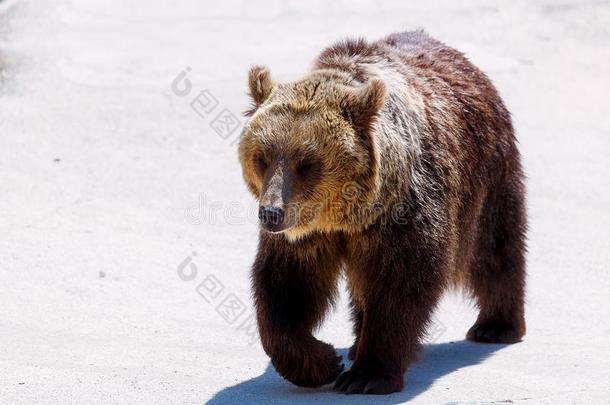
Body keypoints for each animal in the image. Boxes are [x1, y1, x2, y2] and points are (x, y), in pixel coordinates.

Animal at [236, 30, 524, 394]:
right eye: (262, 157)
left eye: (307, 163)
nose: (271, 213)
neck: (348, 216)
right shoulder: (307, 234)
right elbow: (285, 289)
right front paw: (322, 361)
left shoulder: (403, 214)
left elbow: (399, 287)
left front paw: (366, 375)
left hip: (487, 174)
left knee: (494, 248)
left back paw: (496, 325)